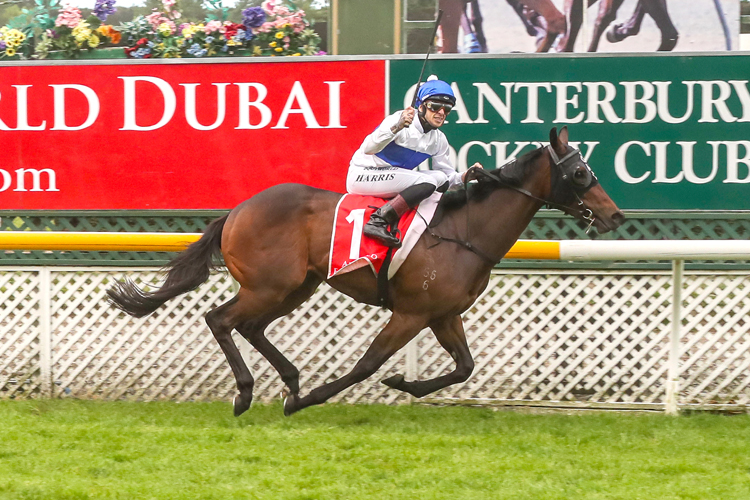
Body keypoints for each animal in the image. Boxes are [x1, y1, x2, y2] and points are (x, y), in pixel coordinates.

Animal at [106, 127, 624, 416]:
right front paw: (310, 400)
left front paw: (403, 384)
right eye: (580, 173)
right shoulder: (412, 313)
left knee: (248, 326)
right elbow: (367, 364)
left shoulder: (443, 314)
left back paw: (289, 378)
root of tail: (236, 210)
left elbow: (464, 367)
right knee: (220, 319)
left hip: (294, 287)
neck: (465, 230)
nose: (615, 214)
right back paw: (248, 393)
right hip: (269, 285)